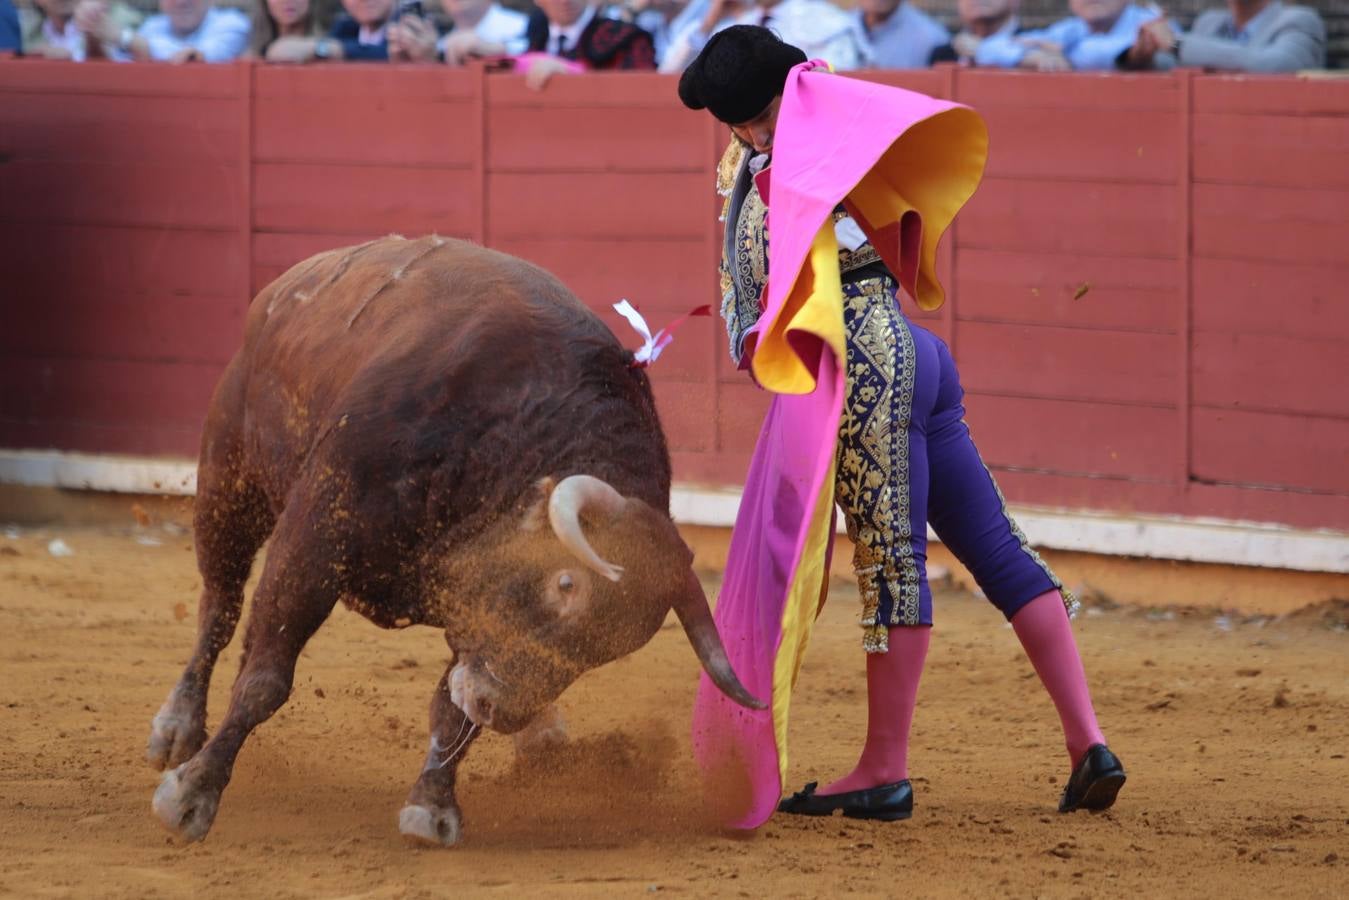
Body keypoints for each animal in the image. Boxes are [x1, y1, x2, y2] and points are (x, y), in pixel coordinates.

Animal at [149, 236, 766, 847]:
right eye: (565, 583)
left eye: (614, 646)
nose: (501, 709)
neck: (506, 431)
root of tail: (286, 286)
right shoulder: (314, 538)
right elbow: (266, 680)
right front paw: (192, 793)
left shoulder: (477, 612)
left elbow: (452, 713)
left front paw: (432, 806)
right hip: (229, 480)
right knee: (221, 607)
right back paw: (177, 729)